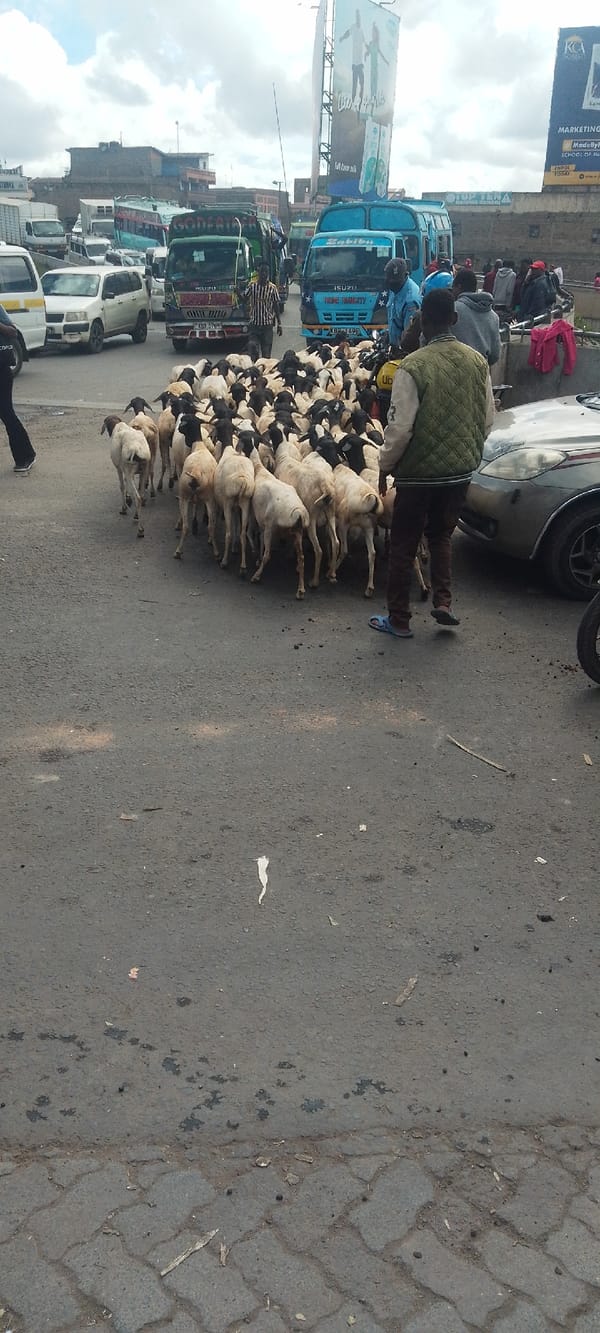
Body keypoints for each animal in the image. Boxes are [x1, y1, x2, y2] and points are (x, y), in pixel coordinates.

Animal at [173, 416, 218, 561]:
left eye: (185, 421)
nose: (179, 428)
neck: (198, 445)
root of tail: (196, 474)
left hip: (185, 495)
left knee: (186, 526)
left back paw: (178, 551)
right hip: (209, 499)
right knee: (211, 526)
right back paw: (216, 552)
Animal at [249, 449, 309, 599]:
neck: (259, 470)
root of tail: (298, 512)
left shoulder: (263, 524)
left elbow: (261, 544)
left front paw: (257, 559)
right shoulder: (263, 526)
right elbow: (260, 542)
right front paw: (257, 558)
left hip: (272, 528)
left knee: (268, 555)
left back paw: (256, 576)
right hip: (297, 533)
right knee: (301, 558)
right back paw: (300, 590)